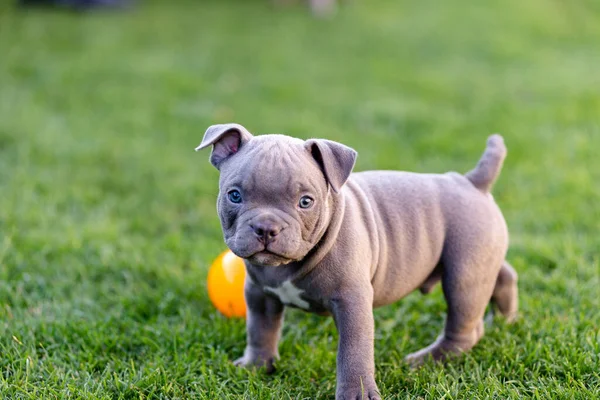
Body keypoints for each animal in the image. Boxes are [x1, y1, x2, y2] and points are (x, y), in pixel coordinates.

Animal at [196, 123, 516, 398]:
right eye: (234, 196)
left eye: (305, 202)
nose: (265, 228)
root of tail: (472, 182)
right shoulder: (259, 294)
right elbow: (260, 329)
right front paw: (256, 365)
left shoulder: (352, 301)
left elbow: (353, 351)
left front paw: (357, 394)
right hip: (482, 258)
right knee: (503, 275)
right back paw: (506, 319)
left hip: (463, 273)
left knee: (464, 324)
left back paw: (428, 359)